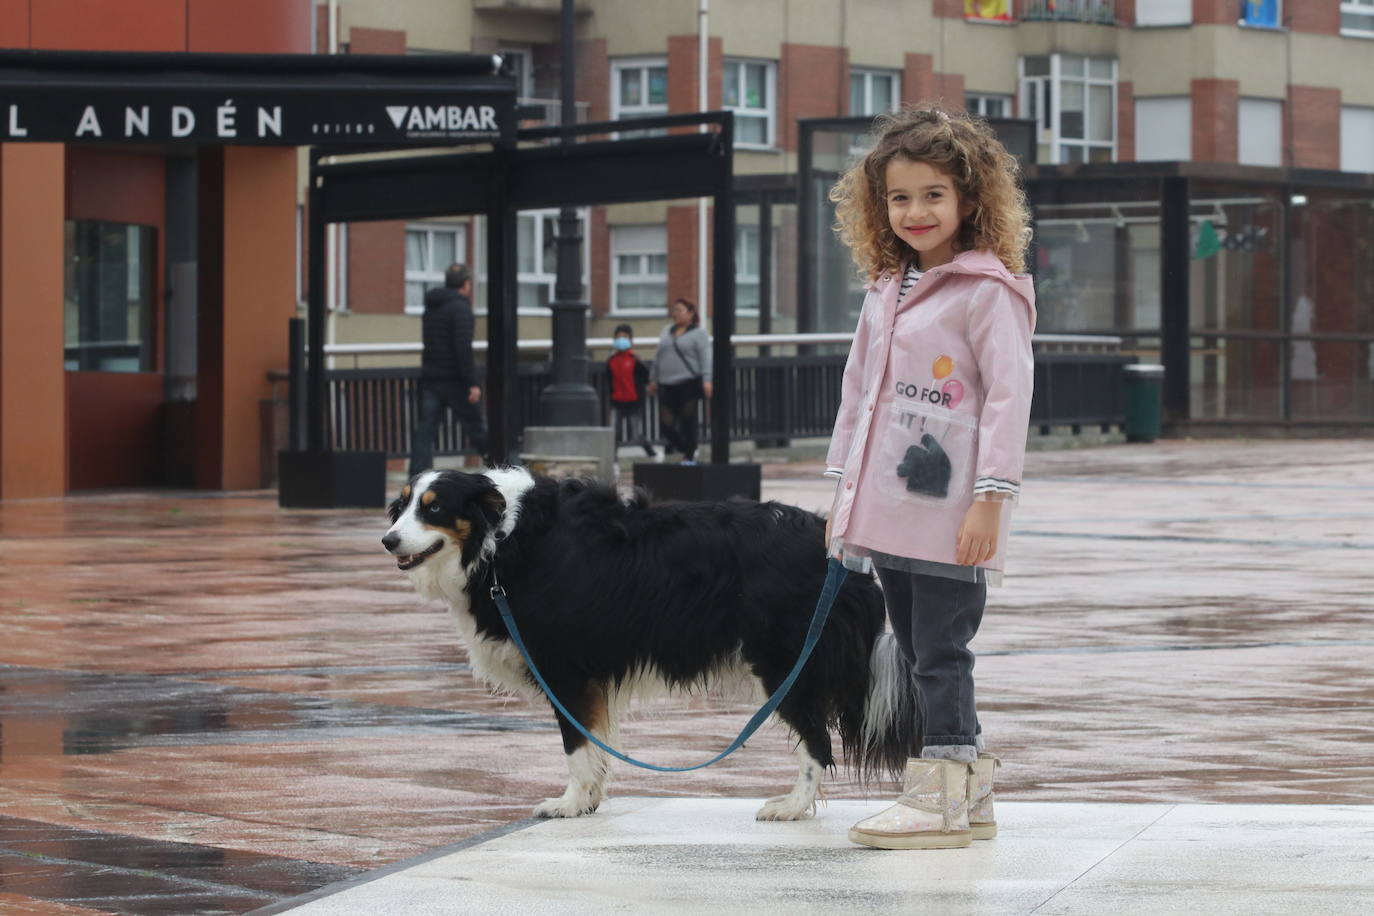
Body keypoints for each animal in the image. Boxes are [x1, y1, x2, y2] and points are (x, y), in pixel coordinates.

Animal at [381, 469, 917, 818]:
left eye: (434, 509)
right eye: (401, 505)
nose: (388, 540)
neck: (502, 539)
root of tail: (841, 556)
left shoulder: (564, 671)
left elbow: (575, 744)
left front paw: (569, 803)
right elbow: (594, 740)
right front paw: (590, 799)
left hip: (786, 664)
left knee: (817, 742)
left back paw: (792, 806)